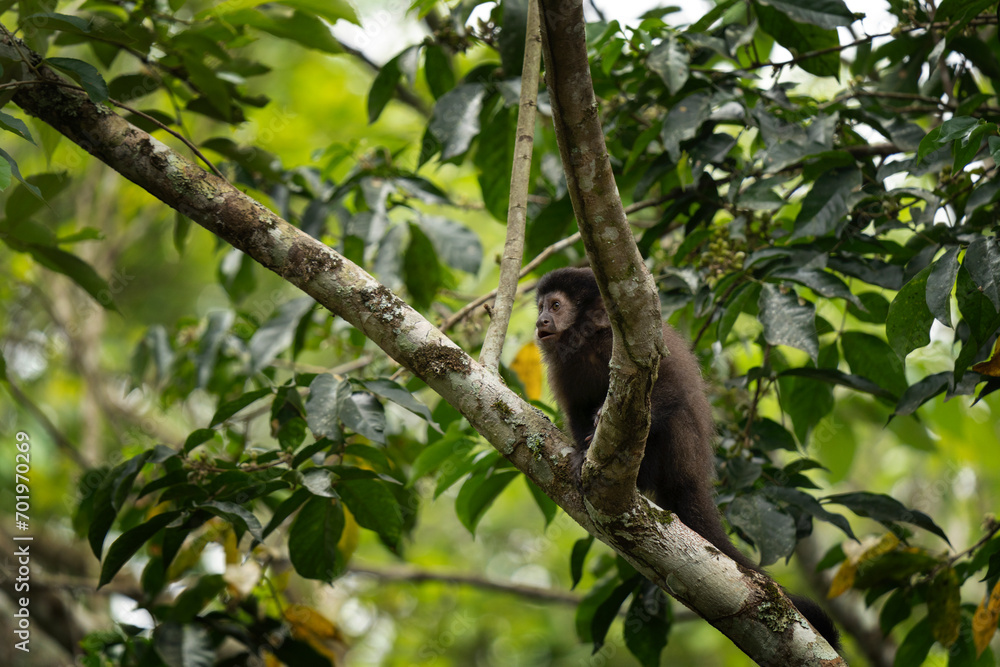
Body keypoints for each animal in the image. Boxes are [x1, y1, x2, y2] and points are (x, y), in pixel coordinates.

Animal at [536, 268, 840, 652]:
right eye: (542, 306)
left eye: (556, 306)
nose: (540, 320)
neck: (588, 342)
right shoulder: (563, 368)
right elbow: (576, 412)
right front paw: (579, 454)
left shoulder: (624, 345)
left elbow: (670, 389)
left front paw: (601, 424)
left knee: (674, 418)